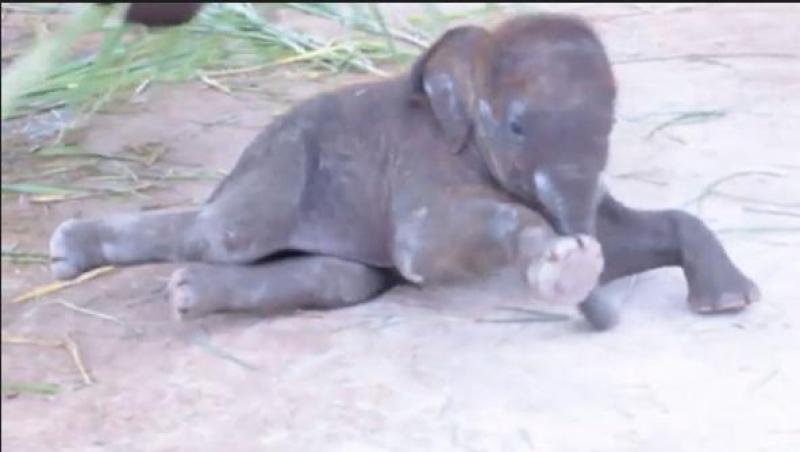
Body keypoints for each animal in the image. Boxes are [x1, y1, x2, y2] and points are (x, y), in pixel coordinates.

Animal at [48, 13, 760, 330]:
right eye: (516, 127)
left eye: (611, 125)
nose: (601, 315)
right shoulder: (425, 155)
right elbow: (422, 246)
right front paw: (565, 263)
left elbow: (628, 235)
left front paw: (728, 303)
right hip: (279, 162)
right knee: (224, 232)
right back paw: (71, 252)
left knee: (340, 279)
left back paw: (185, 293)